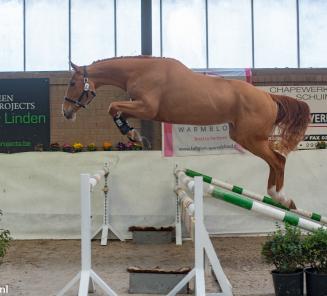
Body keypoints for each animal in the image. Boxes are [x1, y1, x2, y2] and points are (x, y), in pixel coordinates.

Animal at [62, 55, 312, 208]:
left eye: (73, 83)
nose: (66, 112)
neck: (140, 71)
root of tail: (269, 96)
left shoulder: (147, 108)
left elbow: (112, 106)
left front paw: (133, 135)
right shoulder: (143, 109)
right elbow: (116, 111)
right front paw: (133, 134)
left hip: (250, 138)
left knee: (278, 160)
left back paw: (280, 197)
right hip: (245, 137)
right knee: (274, 161)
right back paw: (280, 198)